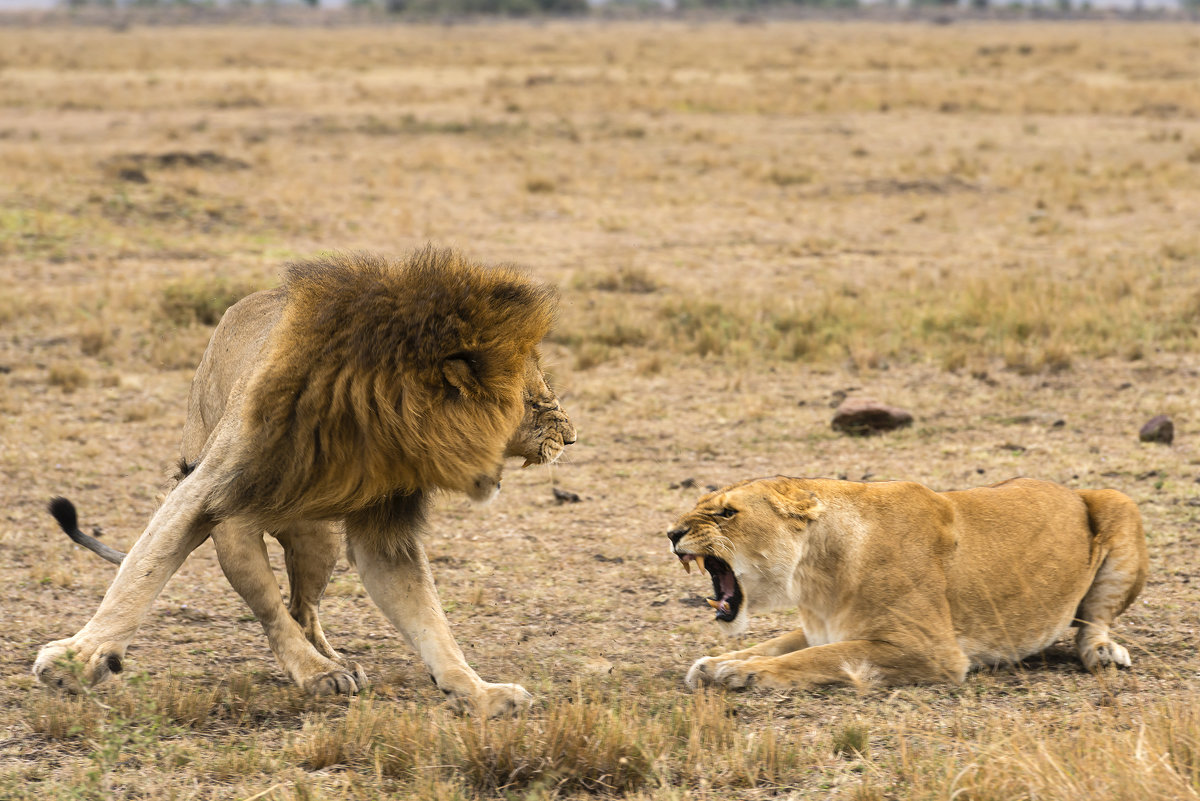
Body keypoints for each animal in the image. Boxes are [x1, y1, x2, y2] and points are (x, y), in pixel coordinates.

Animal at [36, 247, 576, 714]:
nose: (571, 438)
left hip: (319, 539)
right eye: (537, 403)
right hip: (234, 526)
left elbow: (429, 621)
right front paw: (74, 661)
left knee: (301, 607)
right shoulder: (208, 488)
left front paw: (480, 693)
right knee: (275, 614)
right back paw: (318, 672)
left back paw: (334, 661)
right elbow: (139, 574)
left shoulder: (386, 526)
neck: (374, 423)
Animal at [672, 474, 1147, 690]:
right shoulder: (821, 629)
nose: (671, 533)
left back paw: (1102, 652)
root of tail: (1068, 489)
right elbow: (774, 646)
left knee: (1093, 621)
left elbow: (816, 659)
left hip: (1118, 502)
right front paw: (715, 663)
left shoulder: (932, 651)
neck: (814, 580)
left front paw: (741, 672)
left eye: (727, 513)